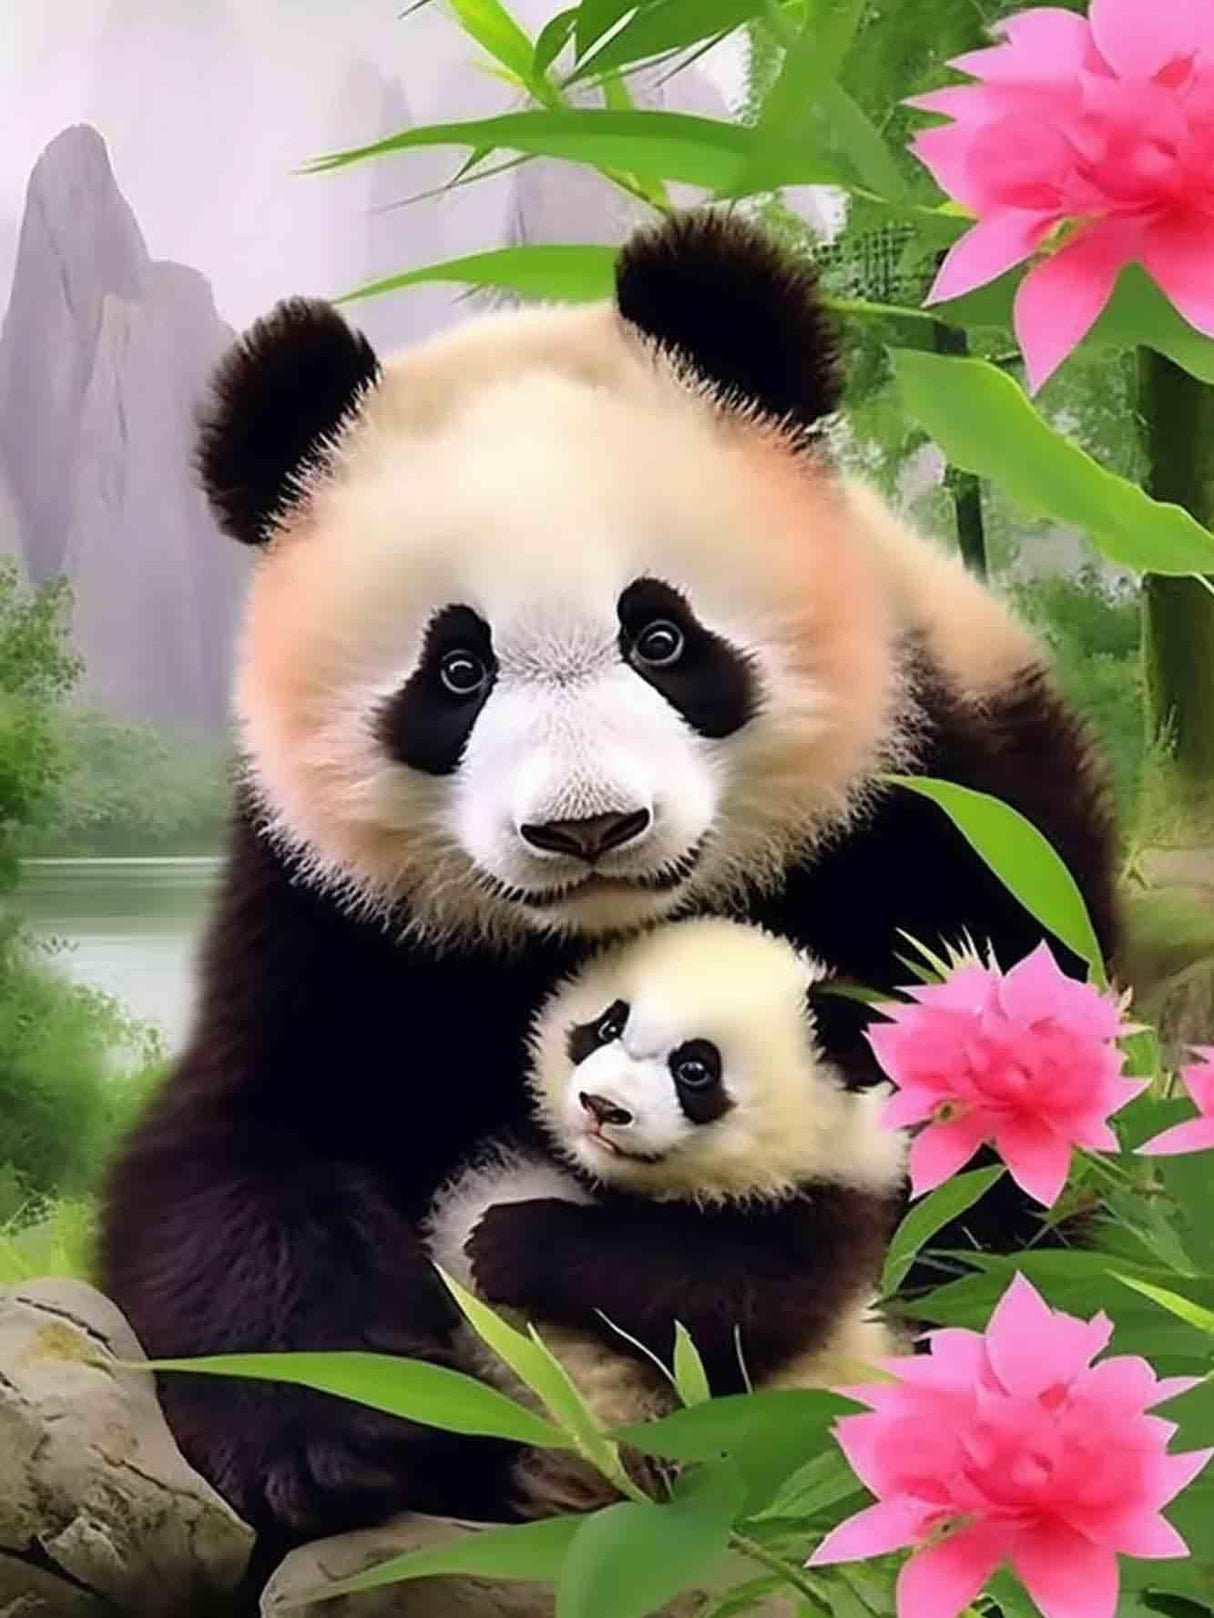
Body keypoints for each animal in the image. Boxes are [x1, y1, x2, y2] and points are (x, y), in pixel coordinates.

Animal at [426, 917, 907, 1520]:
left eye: (695, 1069)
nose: (601, 1106)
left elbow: (710, 1306)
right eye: (609, 1025)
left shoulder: (818, 1226)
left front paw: (505, 1243)